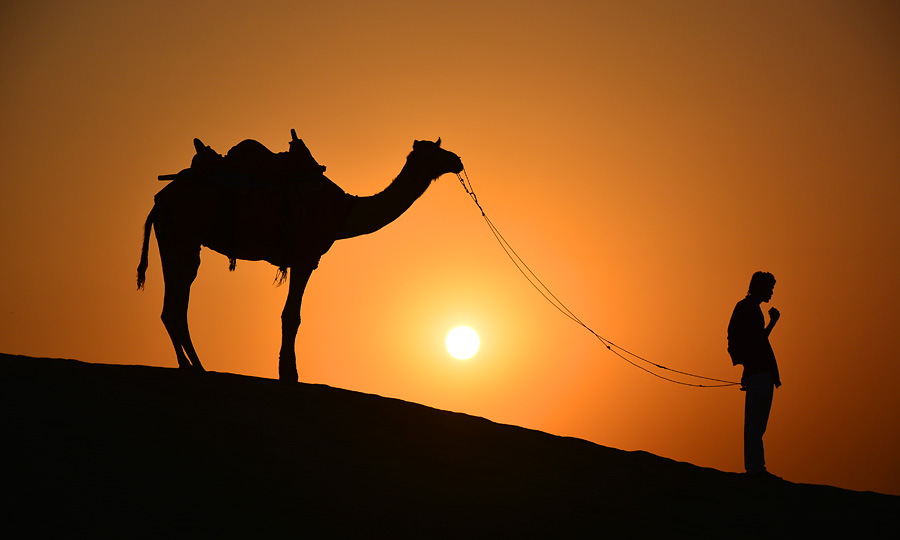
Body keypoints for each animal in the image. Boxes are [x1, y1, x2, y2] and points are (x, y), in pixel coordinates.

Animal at [137, 130, 463, 381]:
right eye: (437, 151)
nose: (457, 160)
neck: (345, 212)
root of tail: (159, 200)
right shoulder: (306, 257)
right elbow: (292, 316)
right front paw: (289, 374)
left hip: (172, 242)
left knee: (171, 306)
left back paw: (191, 366)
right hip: (185, 238)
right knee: (178, 302)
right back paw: (196, 367)